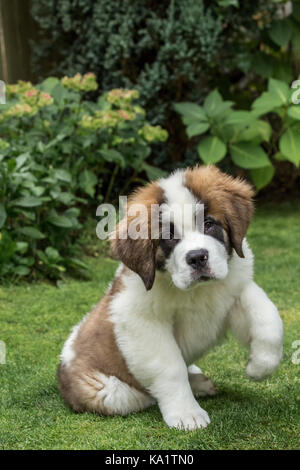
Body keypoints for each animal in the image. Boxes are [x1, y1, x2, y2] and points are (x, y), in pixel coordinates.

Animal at [59, 165, 284, 430]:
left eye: (209, 224)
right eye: (168, 236)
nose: (197, 257)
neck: (197, 292)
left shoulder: (236, 288)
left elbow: (269, 320)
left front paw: (259, 366)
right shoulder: (141, 321)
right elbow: (170, 367)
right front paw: (187, 413)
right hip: (108, 392)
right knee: (137, 393)